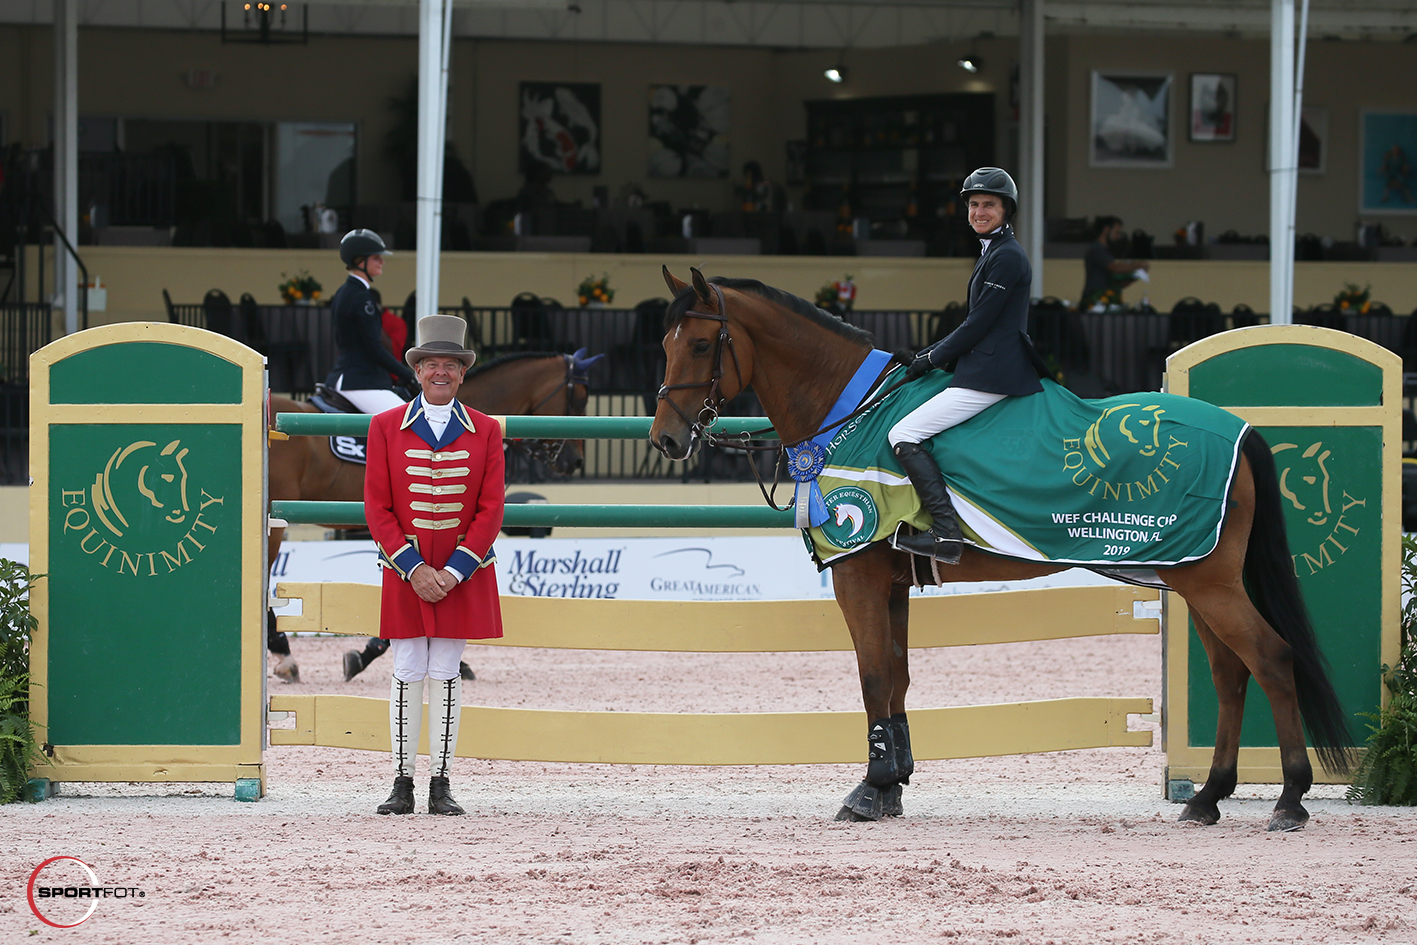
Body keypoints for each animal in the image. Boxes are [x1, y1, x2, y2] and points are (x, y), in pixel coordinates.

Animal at [648, 267, 1354, 833]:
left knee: (1270, 658)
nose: (666, 441)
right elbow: (897, 677)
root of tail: (1241, 427)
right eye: (664, 344)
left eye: (703, 344)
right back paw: (1208, 797)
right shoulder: (892, 581)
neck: (850, 415)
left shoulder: (858, 574)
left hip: (1211, 582)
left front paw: (869, 792)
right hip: (1192, 578)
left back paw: (1289, 799)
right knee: (1231, 672)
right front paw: (894, 784)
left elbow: (873, 676)